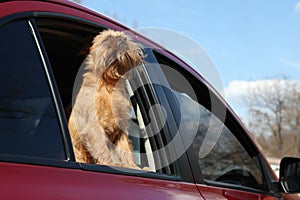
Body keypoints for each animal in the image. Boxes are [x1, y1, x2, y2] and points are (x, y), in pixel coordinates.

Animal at [68, 29, 144, 170]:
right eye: (106, 39)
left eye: (124, 37)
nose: (121, 39)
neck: (109, 83)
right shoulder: (94, 126)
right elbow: (101, 146)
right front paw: (109, 163)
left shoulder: (120, 128)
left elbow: (125, 148)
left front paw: (132, 166)